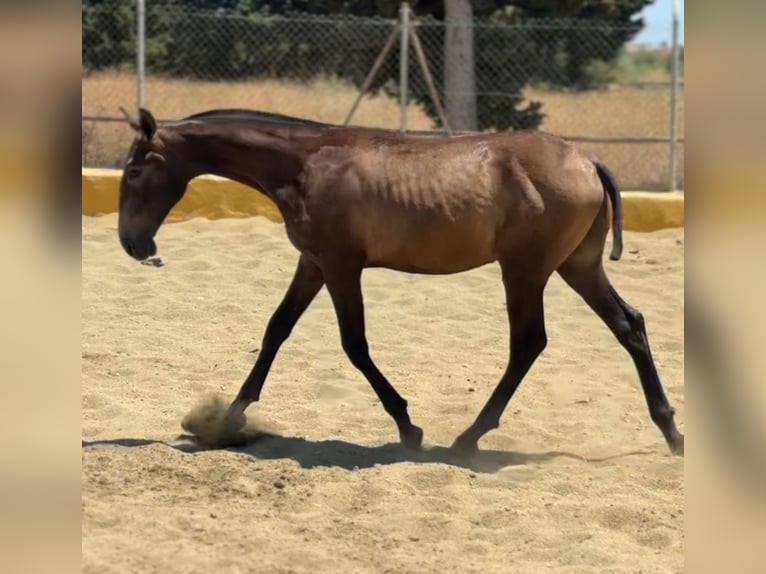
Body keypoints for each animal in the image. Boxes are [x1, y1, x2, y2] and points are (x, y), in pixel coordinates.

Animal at [116, 107, 683, 457]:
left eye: (135, 173)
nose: (133, 245)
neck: (305, 163)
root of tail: (588, 161)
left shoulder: (342, 265)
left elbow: (354, 344)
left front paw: (408, 426)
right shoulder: (313, 264)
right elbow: (276, 329)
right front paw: (226, 422)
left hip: (525, 270)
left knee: (529, 343)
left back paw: (468, 438)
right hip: (577, 266)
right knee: (629, 325)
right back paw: (671, 431)